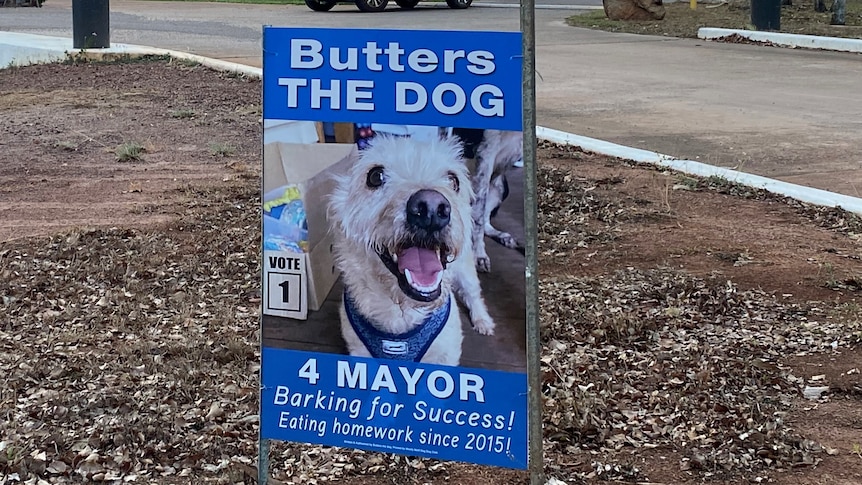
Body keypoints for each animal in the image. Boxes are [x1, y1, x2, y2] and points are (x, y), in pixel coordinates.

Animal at [330, 134, 496, 364]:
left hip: (466, 270)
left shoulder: (446, 353)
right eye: (375, 176)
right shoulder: (359, 351)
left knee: (473, 293)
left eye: (453, 180)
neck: (402, 311)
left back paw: (482, 320)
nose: (432, 208)